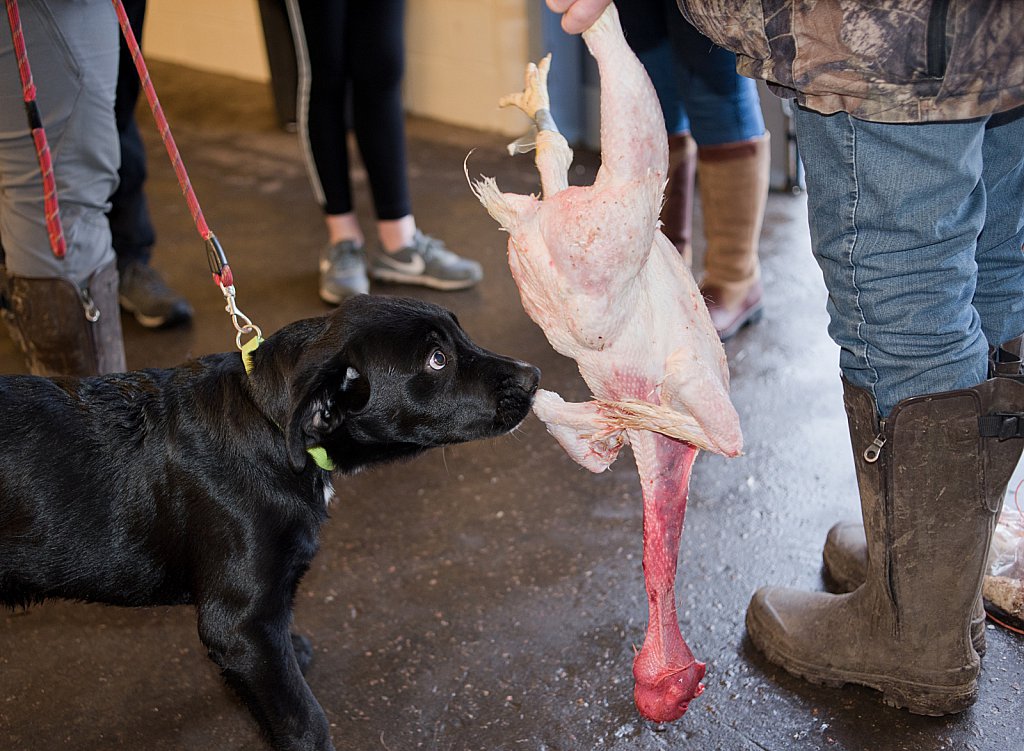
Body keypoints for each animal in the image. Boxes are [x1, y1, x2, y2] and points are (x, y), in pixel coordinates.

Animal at [0, 295, 540, 749]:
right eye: (437, 360)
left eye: (459, 334)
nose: (532, 377)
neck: (269, 426)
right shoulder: (238, 626)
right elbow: (304, 721)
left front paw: (293, 651)